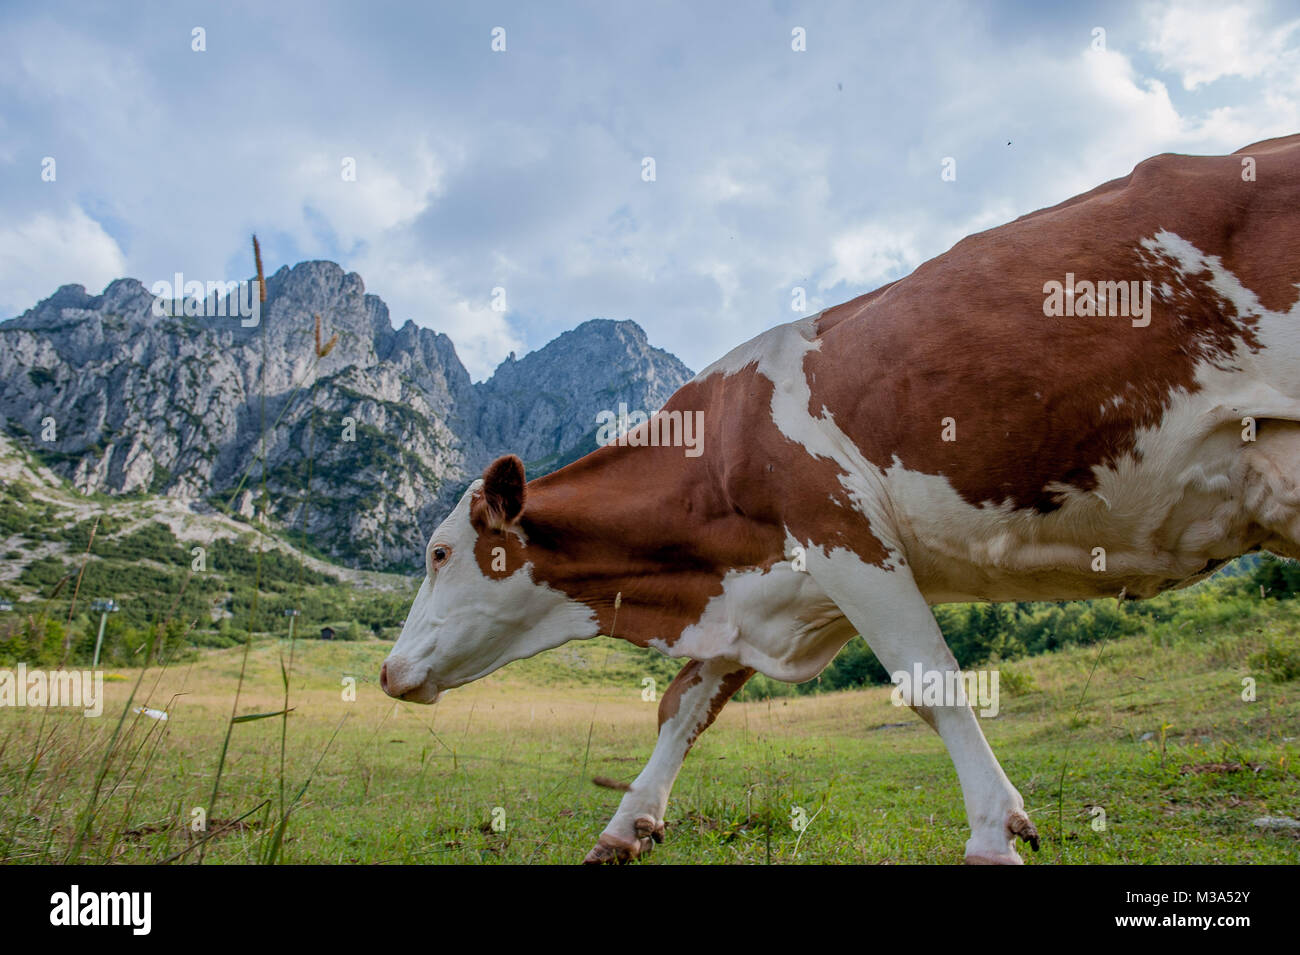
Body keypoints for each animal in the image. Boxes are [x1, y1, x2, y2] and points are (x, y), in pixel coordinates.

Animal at [381, 133, 1300, 864]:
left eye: (439, 553)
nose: (387, 671)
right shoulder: (765, 583)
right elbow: (683, 705)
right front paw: (624, 825)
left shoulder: (841, 531)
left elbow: (931, 682)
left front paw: (993, 833)